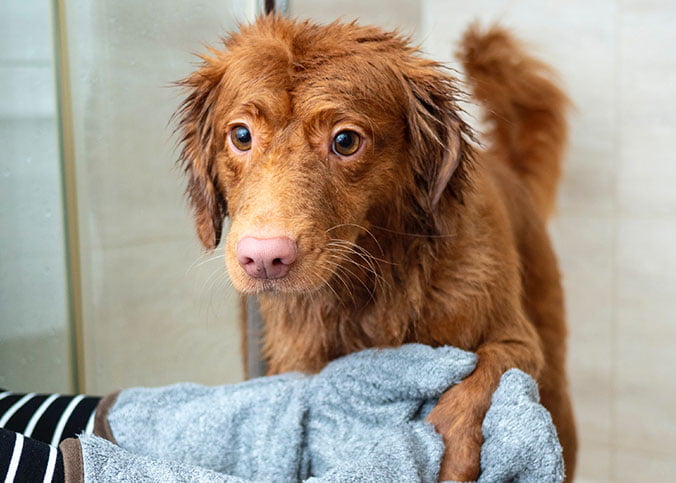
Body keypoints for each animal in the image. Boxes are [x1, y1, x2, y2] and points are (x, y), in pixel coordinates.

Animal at [173, 17, 576, 482]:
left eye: (346, 141)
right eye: (241, 135)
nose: (264, 258)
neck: (365, 292)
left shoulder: (519, 342)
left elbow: (483, 373)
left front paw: (448, 453)